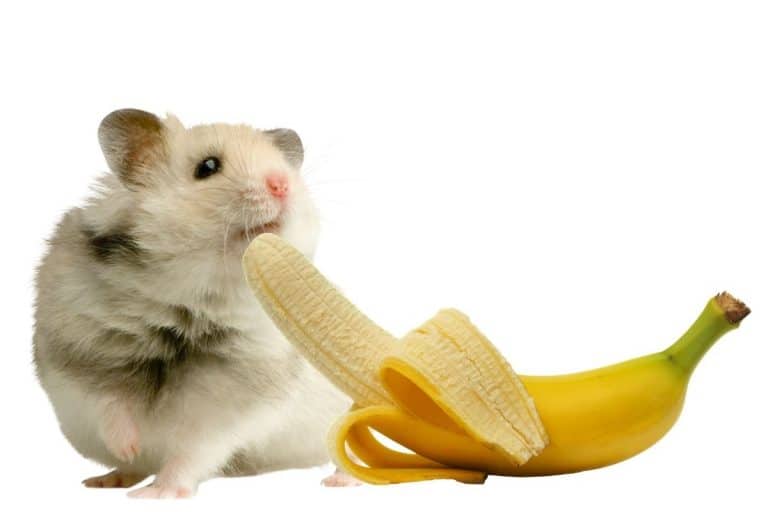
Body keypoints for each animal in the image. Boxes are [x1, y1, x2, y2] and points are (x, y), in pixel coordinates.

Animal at [32, 109, 357, 497]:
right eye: (208, 167)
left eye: (283, 166)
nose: (282, 184)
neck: (186, 300)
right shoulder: (76, 361)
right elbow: (108, 406)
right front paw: (129, 449)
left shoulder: (228, 409)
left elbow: (192, 453)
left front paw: (157, 494)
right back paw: (106, 479)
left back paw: (340, 481)